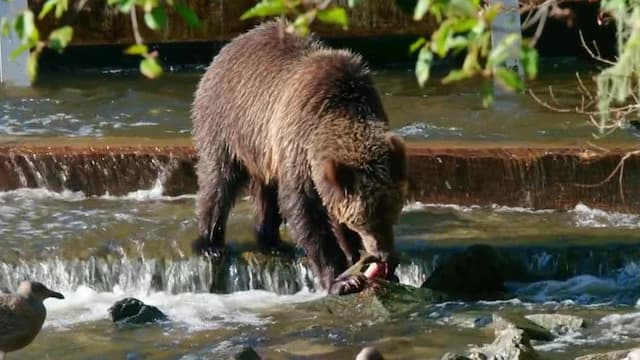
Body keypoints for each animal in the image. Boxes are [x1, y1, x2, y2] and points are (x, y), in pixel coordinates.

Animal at [192, 20, 408, 296]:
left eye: (393, 211)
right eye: (365, 218)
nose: (383, 254)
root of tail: (229, 45)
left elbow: (332, 211)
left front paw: (364, 261)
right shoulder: (298, 144)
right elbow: (305, 211)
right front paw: (341, 279)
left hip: (263, 148)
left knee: (266, 191)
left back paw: (271, 240)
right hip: (228, 124)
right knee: (219, 180)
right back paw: (211, 243)